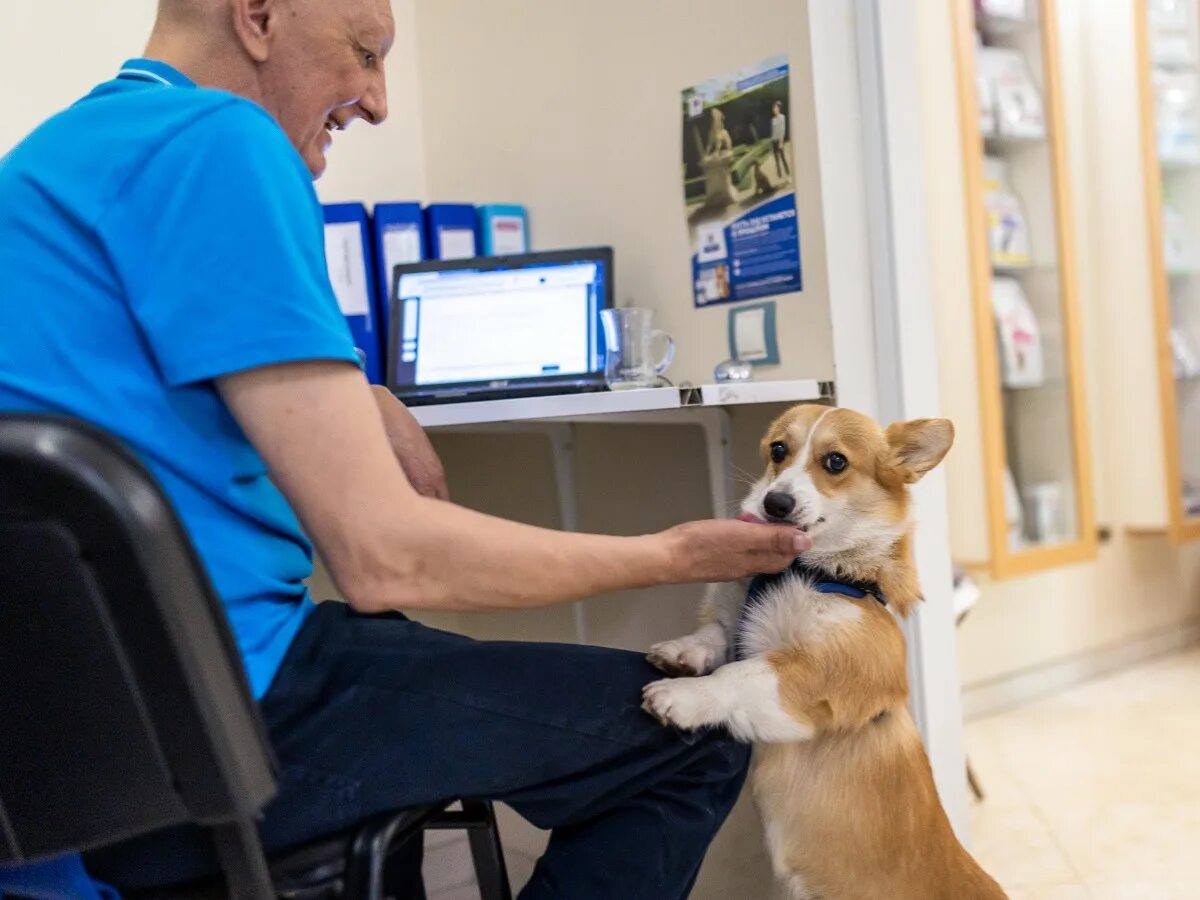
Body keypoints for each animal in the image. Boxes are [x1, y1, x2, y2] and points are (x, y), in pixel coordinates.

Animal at [648, 405, 1003, 897]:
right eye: (778, 450)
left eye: (835, 461)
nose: (775, 503)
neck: (807, 570)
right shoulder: (732, 623)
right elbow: (715, 636)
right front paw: (680, 654)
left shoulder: (813, 677)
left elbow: (738, 675)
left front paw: (681, 696)